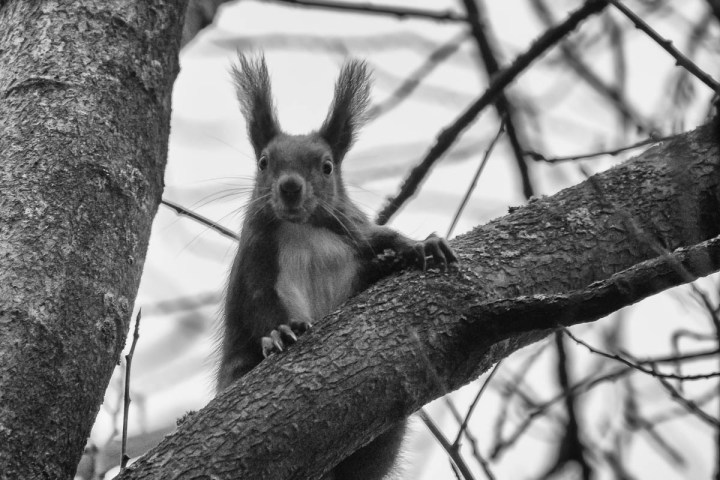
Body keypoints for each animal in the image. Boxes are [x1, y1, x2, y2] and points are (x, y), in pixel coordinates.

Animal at [217, 54, 458, 480]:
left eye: (327, 166)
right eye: (263, 163)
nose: (290, 187)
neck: (303, 229)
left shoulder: (355, 231)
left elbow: (386, 240)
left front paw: (420, 246)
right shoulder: (257, 261)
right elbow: (261, 304)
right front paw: (279, 333)